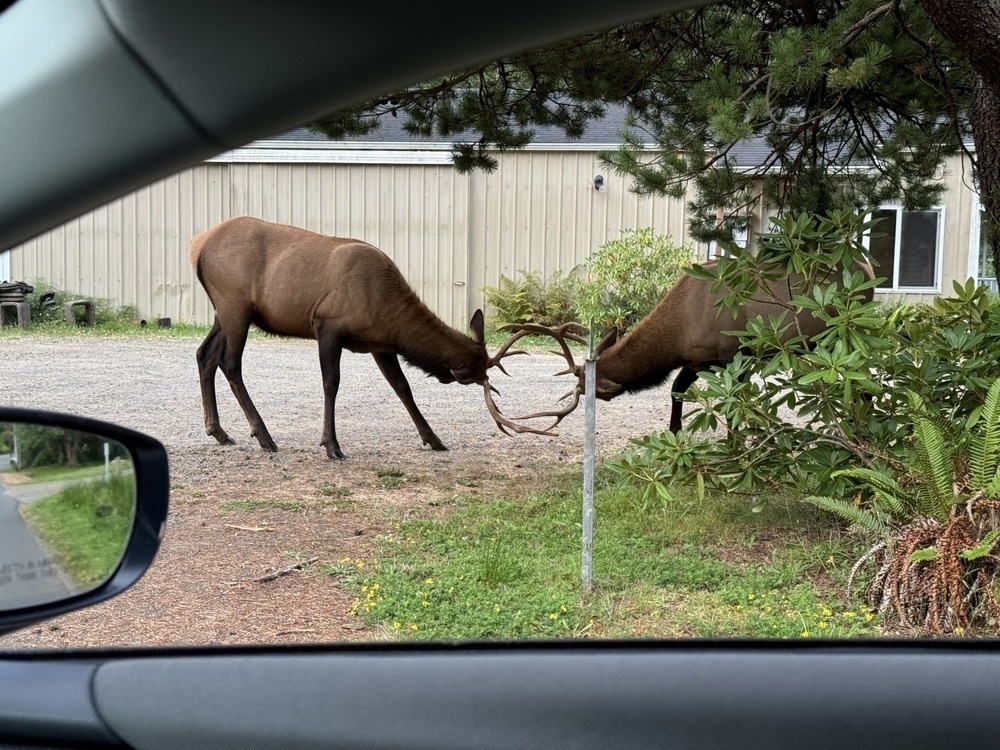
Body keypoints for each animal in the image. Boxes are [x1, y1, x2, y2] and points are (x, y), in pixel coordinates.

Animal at [192, 213, 544, 458]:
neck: (388, 314)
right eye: (477, 375)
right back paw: (264, 436)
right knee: (230, 363)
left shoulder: (380, 345)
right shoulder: (327, 325)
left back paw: (219, 431)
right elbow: (331, 383)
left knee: (204, 354)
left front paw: (434, 439)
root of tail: (197, 247)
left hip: (223, 311)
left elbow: (403, 388)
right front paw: (331, 445)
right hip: (235, 305)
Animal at [512, 258, 872, 434]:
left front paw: (735, 441)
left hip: (842, 339)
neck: (678, 333)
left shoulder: (735, 356)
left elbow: (733, 404)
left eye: (587, 389)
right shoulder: (698, 361)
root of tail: (869, 272)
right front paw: (675, 434)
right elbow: (677, 391)